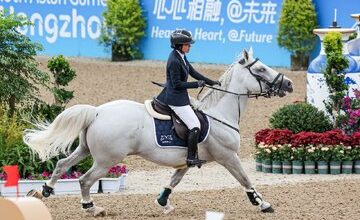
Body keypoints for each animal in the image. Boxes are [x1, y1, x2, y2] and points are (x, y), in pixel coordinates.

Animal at [23, 48, 292, 217]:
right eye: (261, 70)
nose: (288, 84)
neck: (220, 114)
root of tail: (97, 112)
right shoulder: (227, 156)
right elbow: (245, 179)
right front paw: (263, 204)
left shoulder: (187, 160)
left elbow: (174, 180)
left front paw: (163, 203)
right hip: (107, 160)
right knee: (85, 180)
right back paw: (92, 208)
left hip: (86, 150)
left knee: (62, 164)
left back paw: (43, 191)